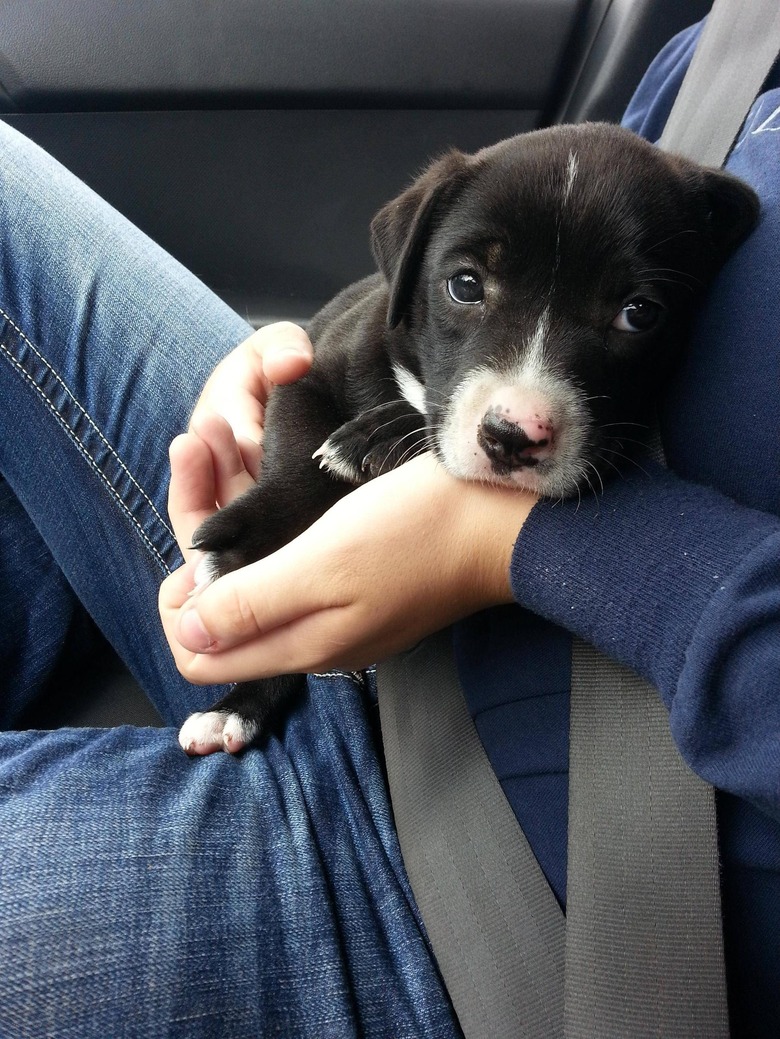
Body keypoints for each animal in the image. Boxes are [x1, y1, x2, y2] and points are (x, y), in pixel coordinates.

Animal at [176, 121, 756, 756]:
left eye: (640, 313)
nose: (513, 437)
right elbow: (296, 469)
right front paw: (235, 547)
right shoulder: (309, 371)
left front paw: (376, 438)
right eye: (465, 285)